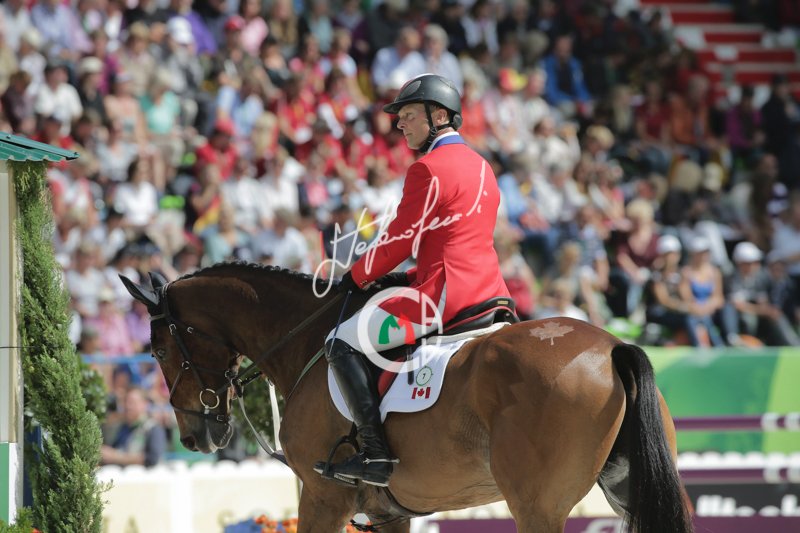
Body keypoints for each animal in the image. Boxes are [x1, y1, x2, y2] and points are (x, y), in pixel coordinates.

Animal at [120, 263, 693, 533]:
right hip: (628, 486)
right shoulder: (389, 512)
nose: (195, 435)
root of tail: (613, 346)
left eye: (158, 349)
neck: (306, 338)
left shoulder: (323, 496)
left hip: (538, 505)